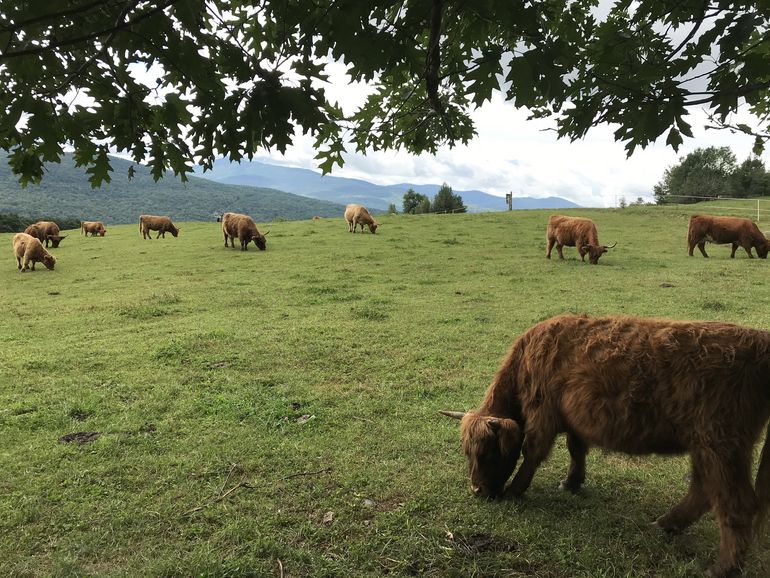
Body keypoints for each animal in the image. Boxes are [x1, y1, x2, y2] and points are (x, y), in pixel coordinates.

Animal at [440, 316, 768, 576]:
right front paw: (571, 483)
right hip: (705, 446)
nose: (477, 490)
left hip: (721, 445)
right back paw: (664, 524)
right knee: (702, 491)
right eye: (467, 453)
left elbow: (532, 452)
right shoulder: (571, 418)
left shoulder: (543, 413)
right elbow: (576, 449)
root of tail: (759, 342)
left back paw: (722, 568)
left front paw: (515, 490)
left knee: (735, 503)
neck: (527, 361)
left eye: (489, 453)